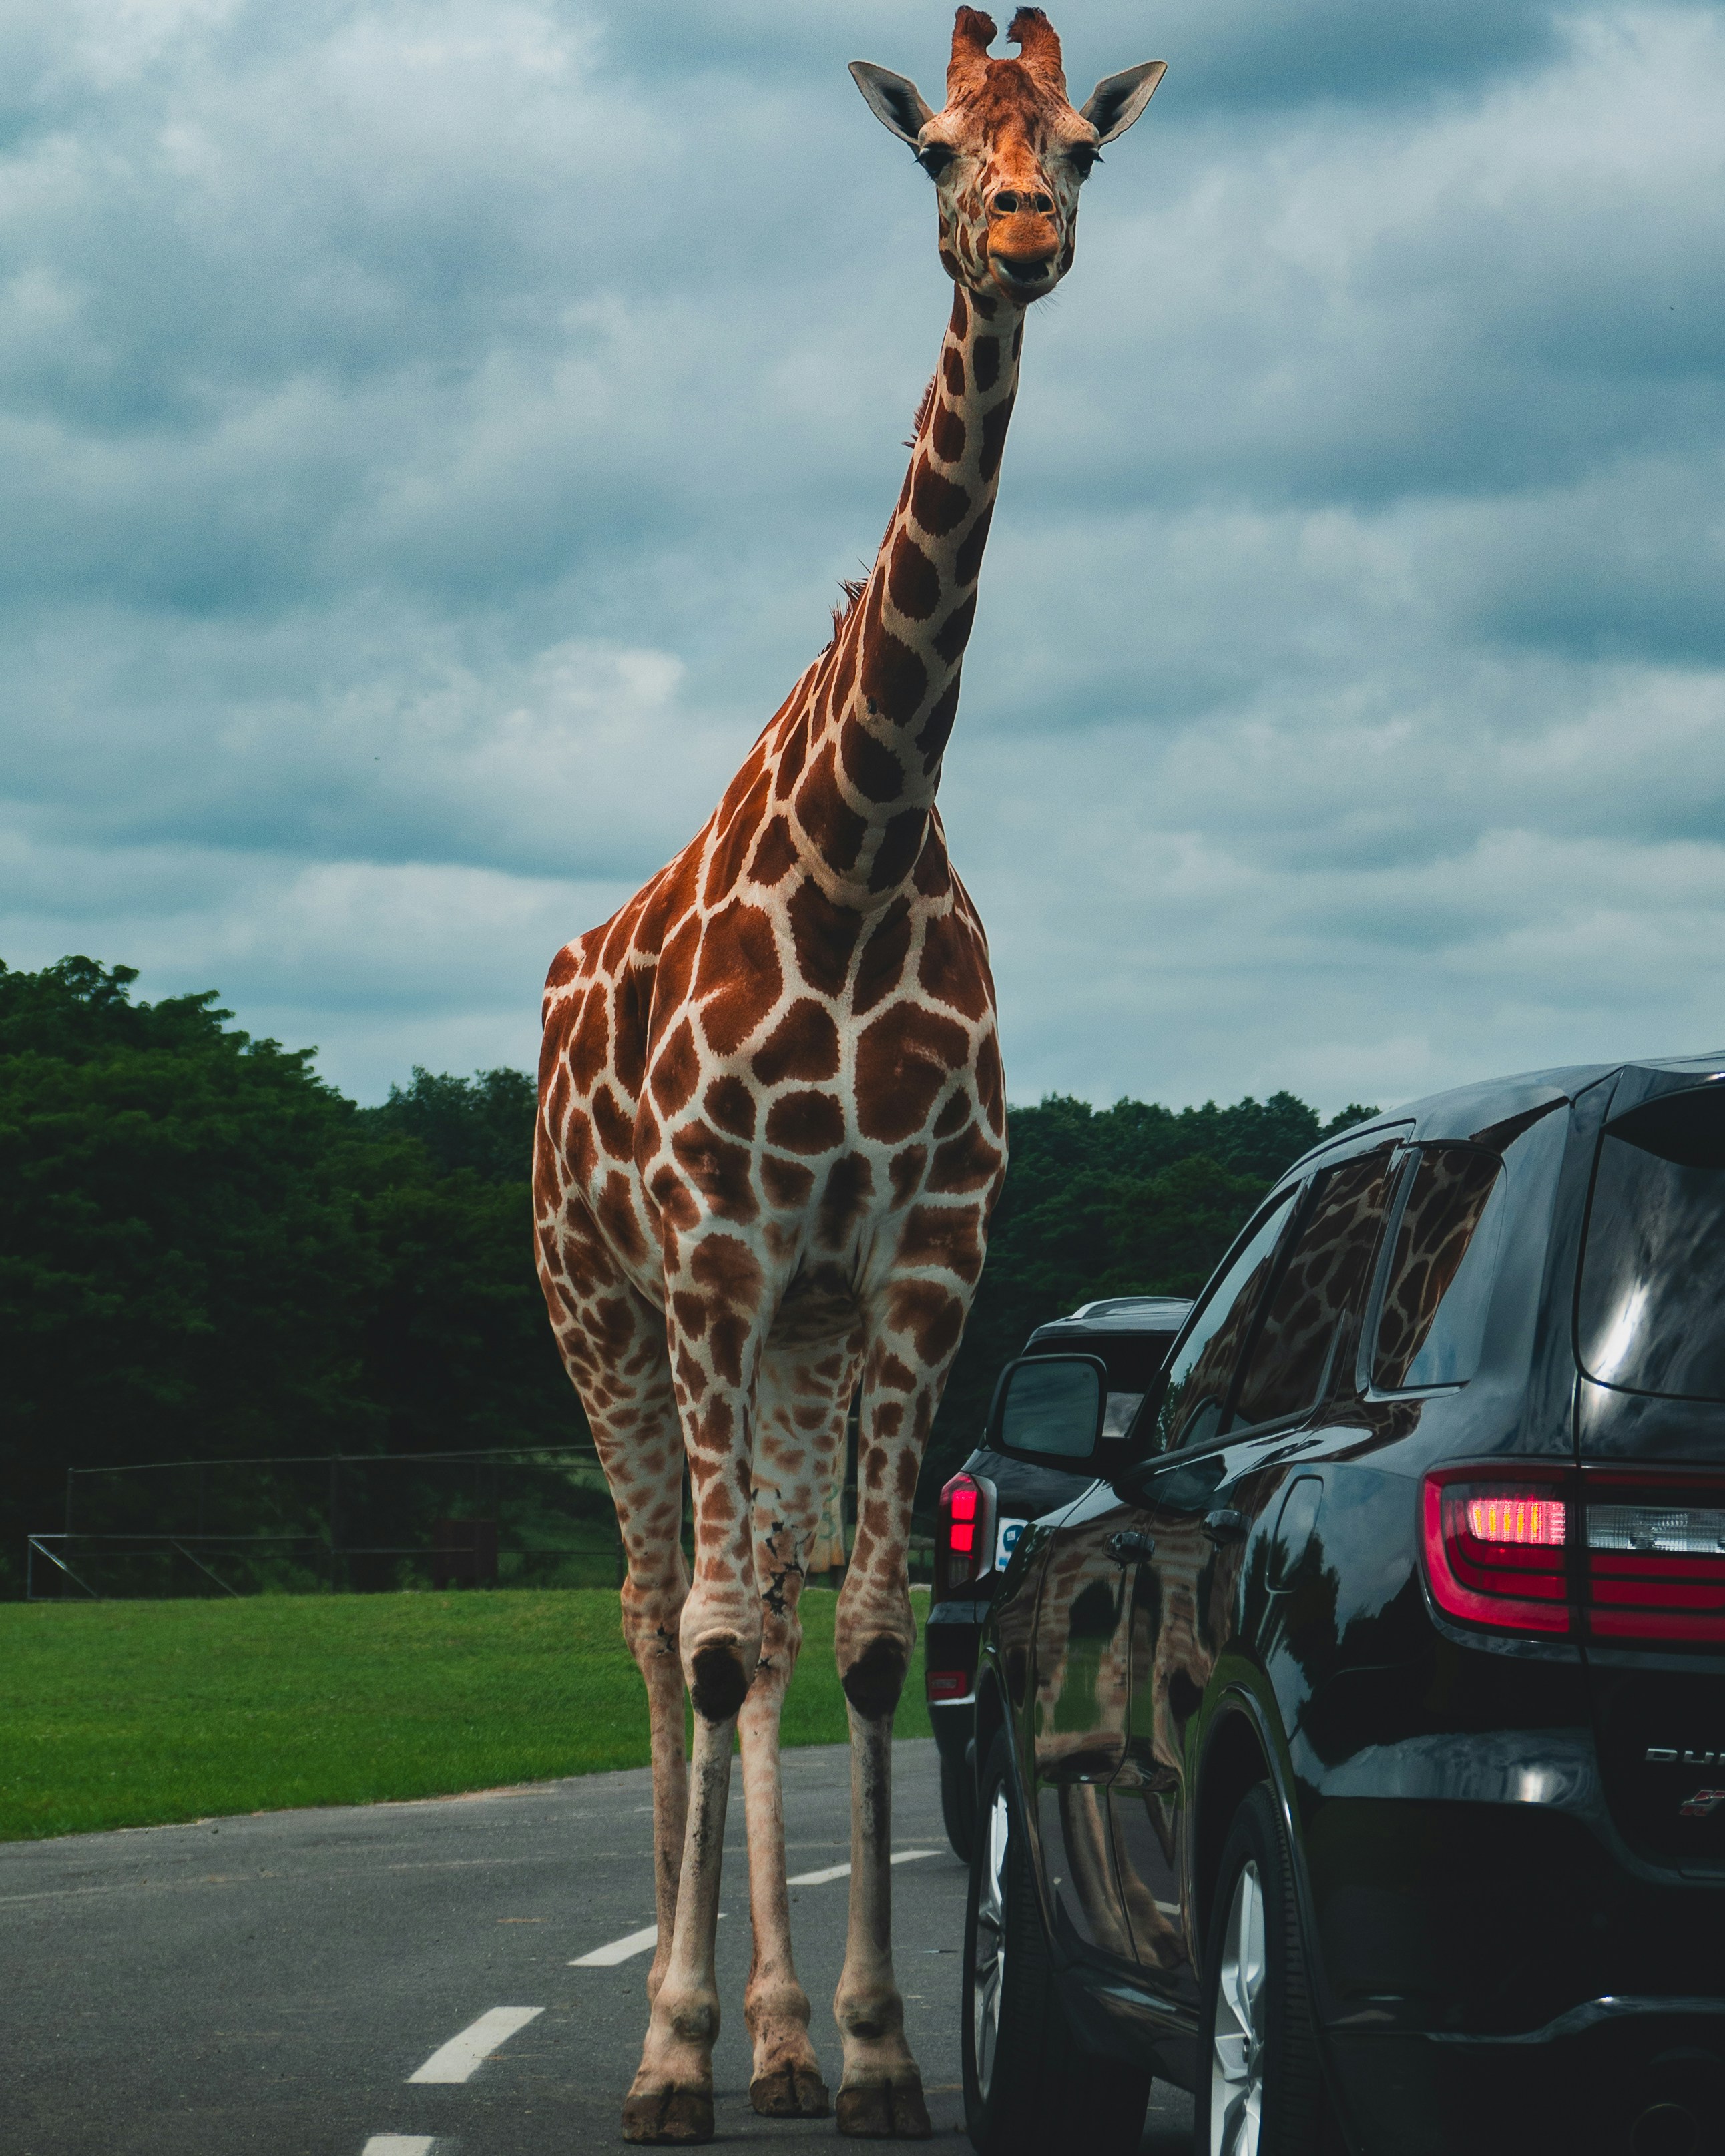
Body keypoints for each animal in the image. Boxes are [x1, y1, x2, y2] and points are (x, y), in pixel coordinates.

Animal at [532, 10, 1164, 2143]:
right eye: (935, 153)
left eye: (1079, 144)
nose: (1025, 235)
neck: (865, 854)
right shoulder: (718, 1251)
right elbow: (716, 1641)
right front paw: (672, 2047)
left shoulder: (912, 1261)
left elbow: (874, 1635)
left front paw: (875, 2047)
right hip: (610, 1315)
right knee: (666, 1619)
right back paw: (684, 2031)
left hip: (790, 1339)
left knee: (770, 1604)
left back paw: (788, 2037)